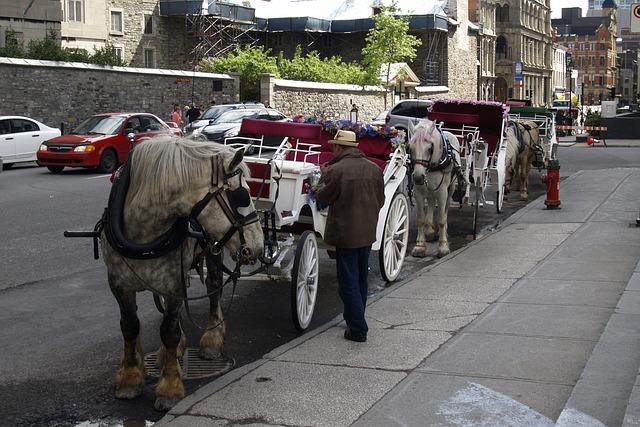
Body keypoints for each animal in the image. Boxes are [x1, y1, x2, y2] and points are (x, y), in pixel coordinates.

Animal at [101, 137, 262, 412]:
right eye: (242, 195)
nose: (259, 245)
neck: (143, 233)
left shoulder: (173, 284)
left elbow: (169, 330)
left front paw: (169, 387)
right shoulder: (119, 285)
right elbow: (130, 326)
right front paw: (131, 376)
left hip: (213, 246)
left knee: (214, 286)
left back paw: (211, 339)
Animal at [410, 118, 464, 260]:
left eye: (430, 148)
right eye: (410, 148)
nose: (418, 177)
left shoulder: (442, 192)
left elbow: (441, 219)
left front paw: (443, 246)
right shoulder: (418, 191)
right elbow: (420, 219)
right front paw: (419, 246)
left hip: (449, 189)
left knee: (445, 210)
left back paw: (441, 231)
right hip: (429, 189)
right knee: (430, 202)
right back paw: (429, 230)